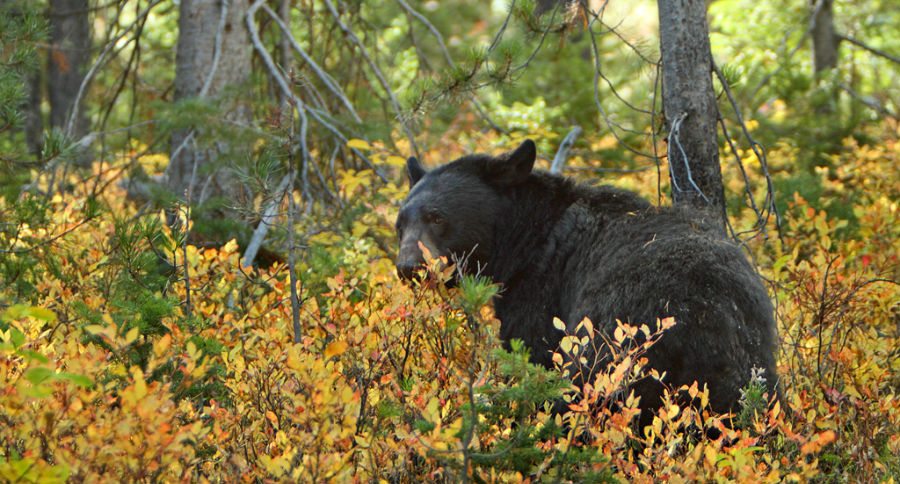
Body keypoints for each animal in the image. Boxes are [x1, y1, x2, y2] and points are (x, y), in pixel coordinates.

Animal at [396, 139, 780, 424]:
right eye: (401, 222)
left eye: (437, 217)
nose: (408, 266)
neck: (524, 240)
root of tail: (707, 314)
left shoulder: (541, 292)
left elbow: (532, 356)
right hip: (754, 366)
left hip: (612, 344)